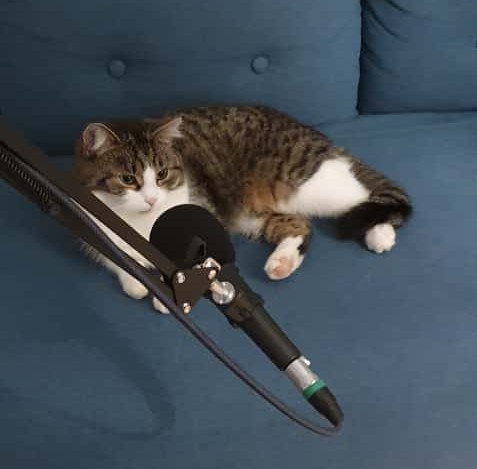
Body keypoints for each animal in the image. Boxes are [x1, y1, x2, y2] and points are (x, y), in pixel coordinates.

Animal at [73, 105, 411, 312]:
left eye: (162, 174)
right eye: (127, 179)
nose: (152, 199)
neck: (141, 222)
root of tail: (312, 134)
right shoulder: (85, 219)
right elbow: (117, 260)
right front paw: (137, 280)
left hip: (311, 184)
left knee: (370, 192)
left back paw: (380, 233)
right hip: (251, 213)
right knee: (299, 225)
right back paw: (282, 262)